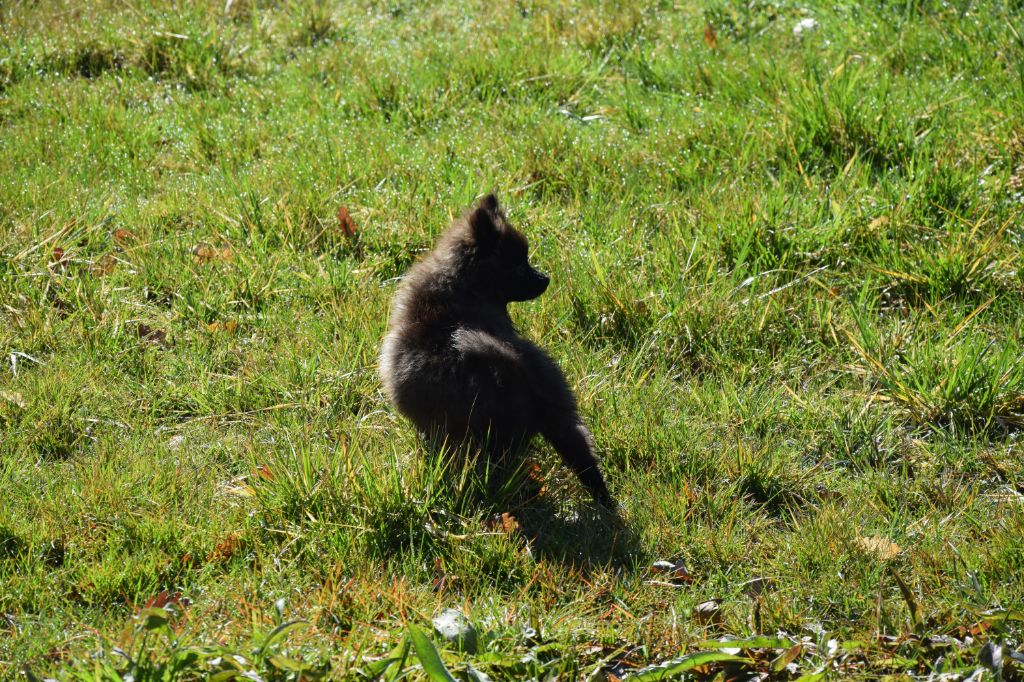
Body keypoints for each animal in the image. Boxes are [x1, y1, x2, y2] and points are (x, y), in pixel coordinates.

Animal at [378, 191, 610, 503]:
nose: (545, 278)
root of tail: (512, 368)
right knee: (581, 454)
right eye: (519, 264)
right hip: (560, 409)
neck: (462, 285)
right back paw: (604, 500)